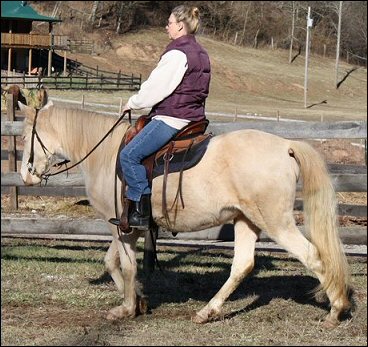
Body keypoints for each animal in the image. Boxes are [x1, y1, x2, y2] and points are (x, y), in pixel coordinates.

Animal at [18, 101, 350, 328]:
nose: (25, 175)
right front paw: (139, 300)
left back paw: (336, 310)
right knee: (242, 265)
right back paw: (207, 311)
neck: (105, 153)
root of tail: (286, 146)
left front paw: (127, 308)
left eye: (23, 138)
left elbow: (126, 266)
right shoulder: (126, 228)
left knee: (313, 256)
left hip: (276, 222)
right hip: (246, 220)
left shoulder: (121, 227)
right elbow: (112, 263)